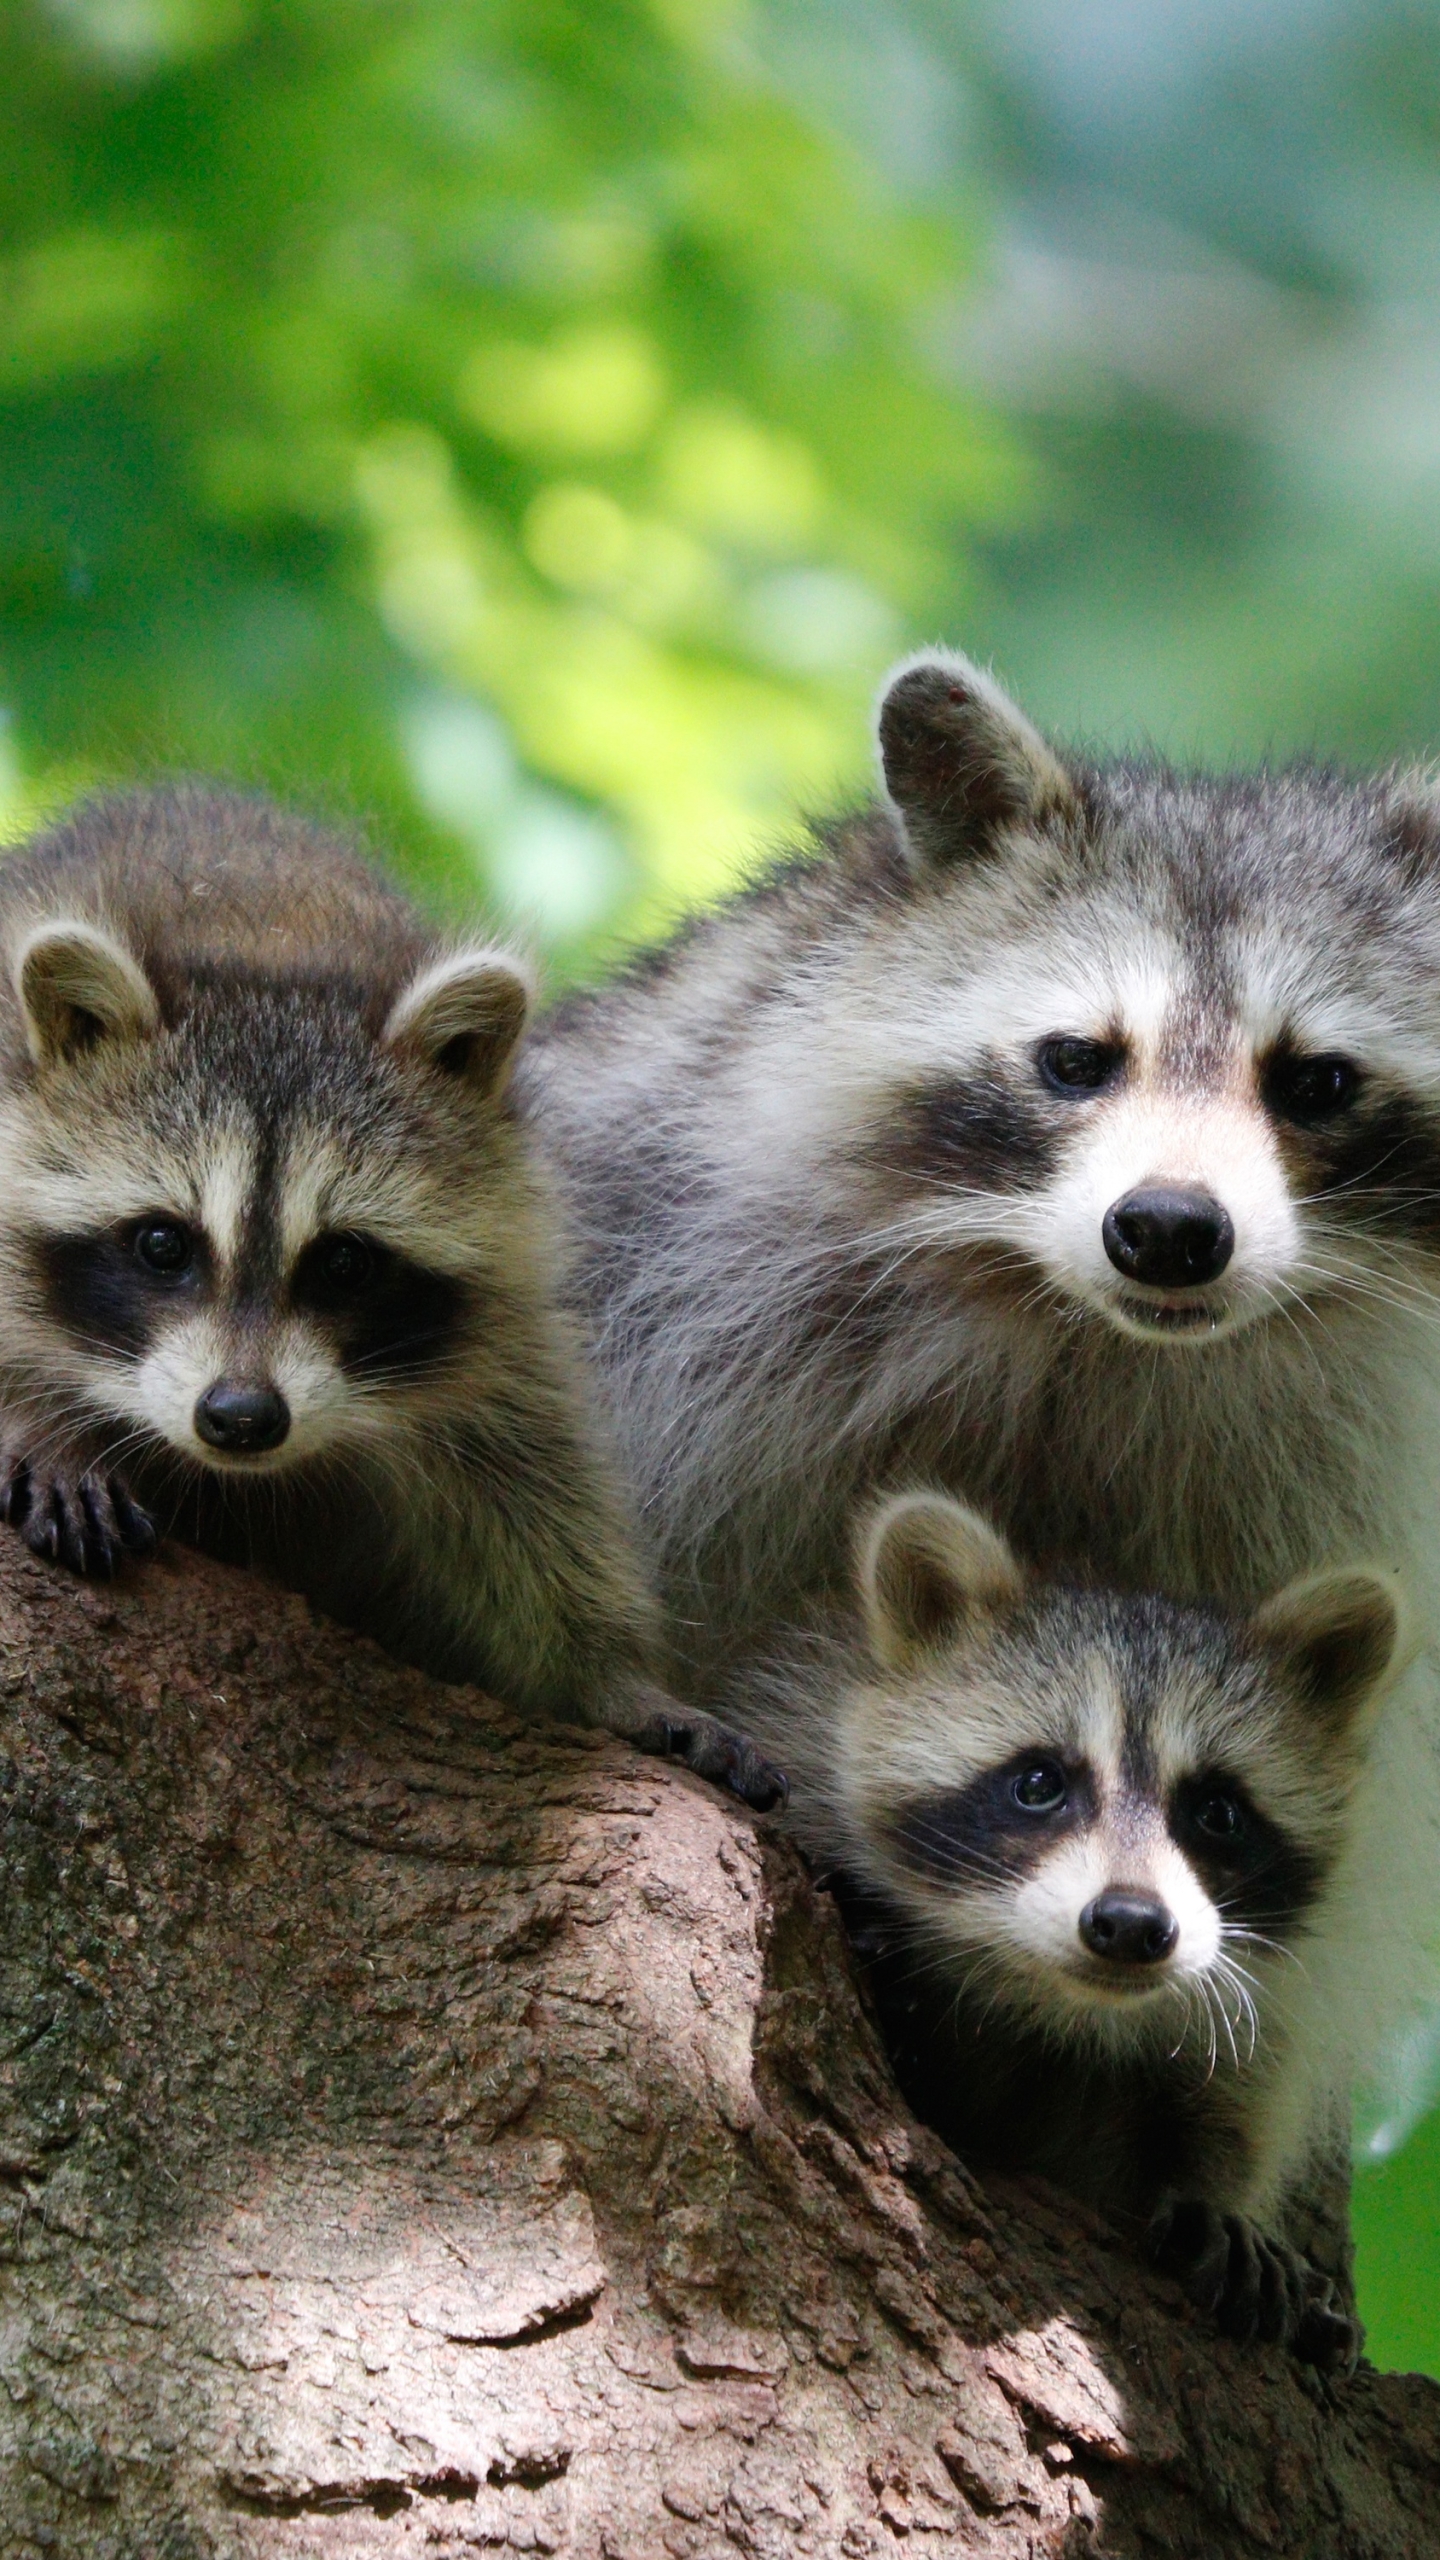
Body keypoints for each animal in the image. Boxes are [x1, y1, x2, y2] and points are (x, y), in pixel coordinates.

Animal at [0, 778, 778, 1802]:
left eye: (343, 1262)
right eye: (163, 1245)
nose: (240, 1418)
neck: (262, 946)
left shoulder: (501, 1308)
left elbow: (528, 1488)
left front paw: (610, 1676)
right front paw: (40, 1422)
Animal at [727, 1495, 1404, 2365]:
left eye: (1218, 1812)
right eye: (1040, 1782)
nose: (1130, 1923)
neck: (1060, 2001)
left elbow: (1245, 2084)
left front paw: (1217, 2187)